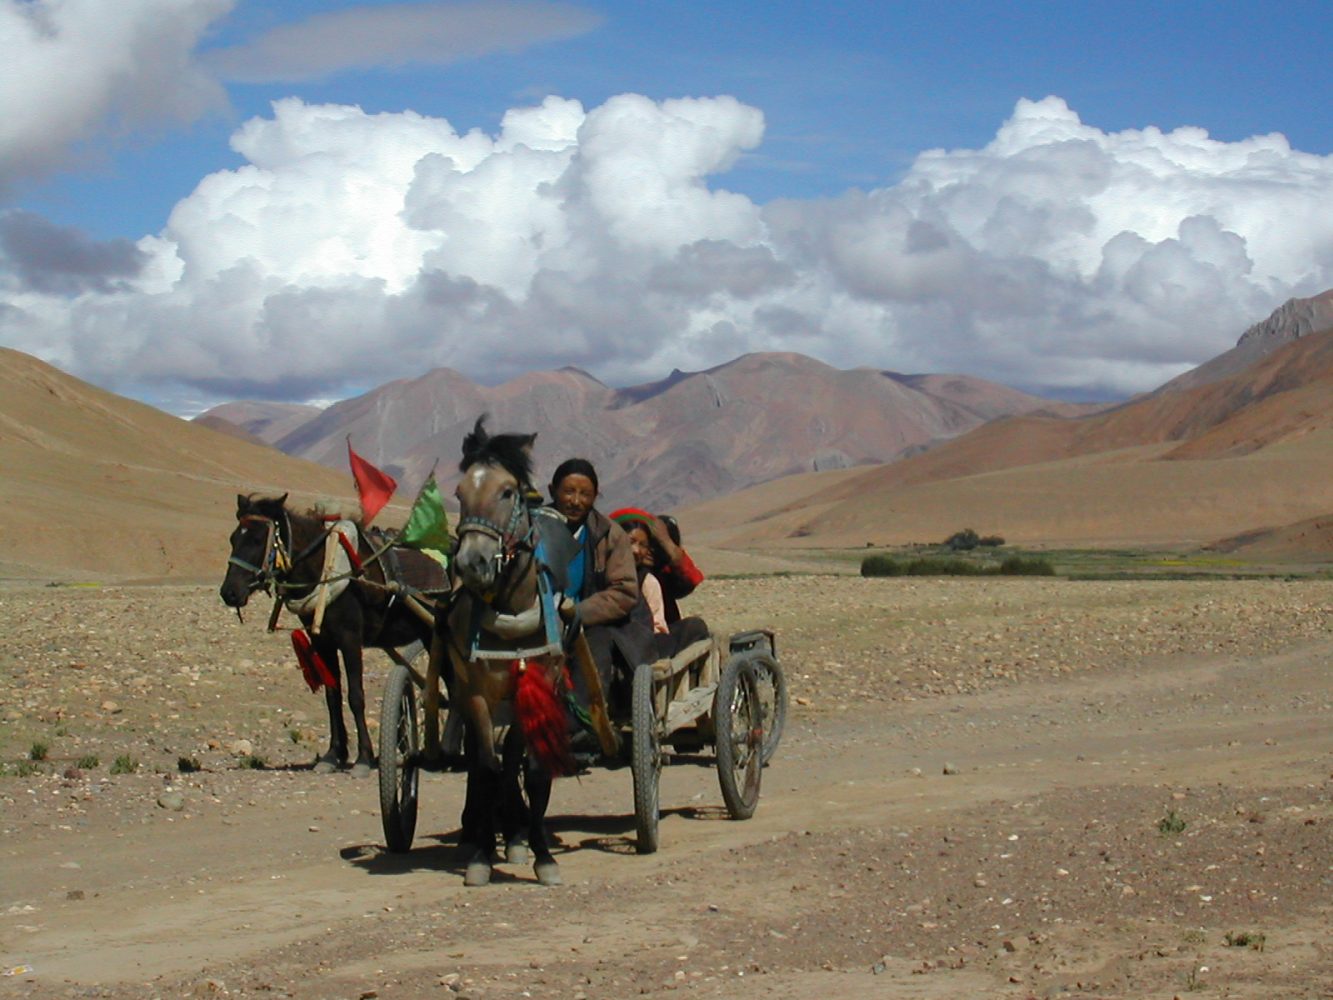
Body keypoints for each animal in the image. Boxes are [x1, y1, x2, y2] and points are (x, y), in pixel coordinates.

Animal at [221, 498, 439, 778]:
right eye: (233, 538)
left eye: (258, 540)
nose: (229, 592)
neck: (327, 570)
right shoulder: (323, 642)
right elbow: (332, 697)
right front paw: (334, 755)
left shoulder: (350, 640)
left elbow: (356, 696)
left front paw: (364, 758)